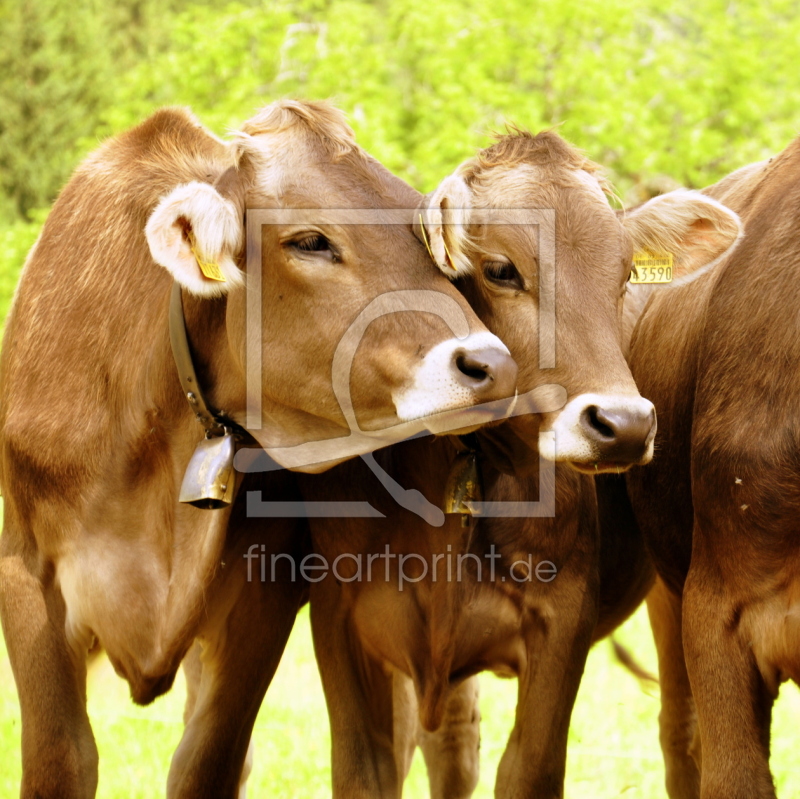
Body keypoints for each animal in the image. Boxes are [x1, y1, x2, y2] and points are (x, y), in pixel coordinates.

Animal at [0, 101, 520, 799]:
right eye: (309, 241)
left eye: (421, 231)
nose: (491, 363)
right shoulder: (27, 571)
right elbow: (62, 758)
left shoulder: (262, 596)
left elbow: (207, 764)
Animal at [294, 133, 736, 799]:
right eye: (502, 270)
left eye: (625, 275)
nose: (625, 424)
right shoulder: (340, 623)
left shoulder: (561, 626)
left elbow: (528, 769)